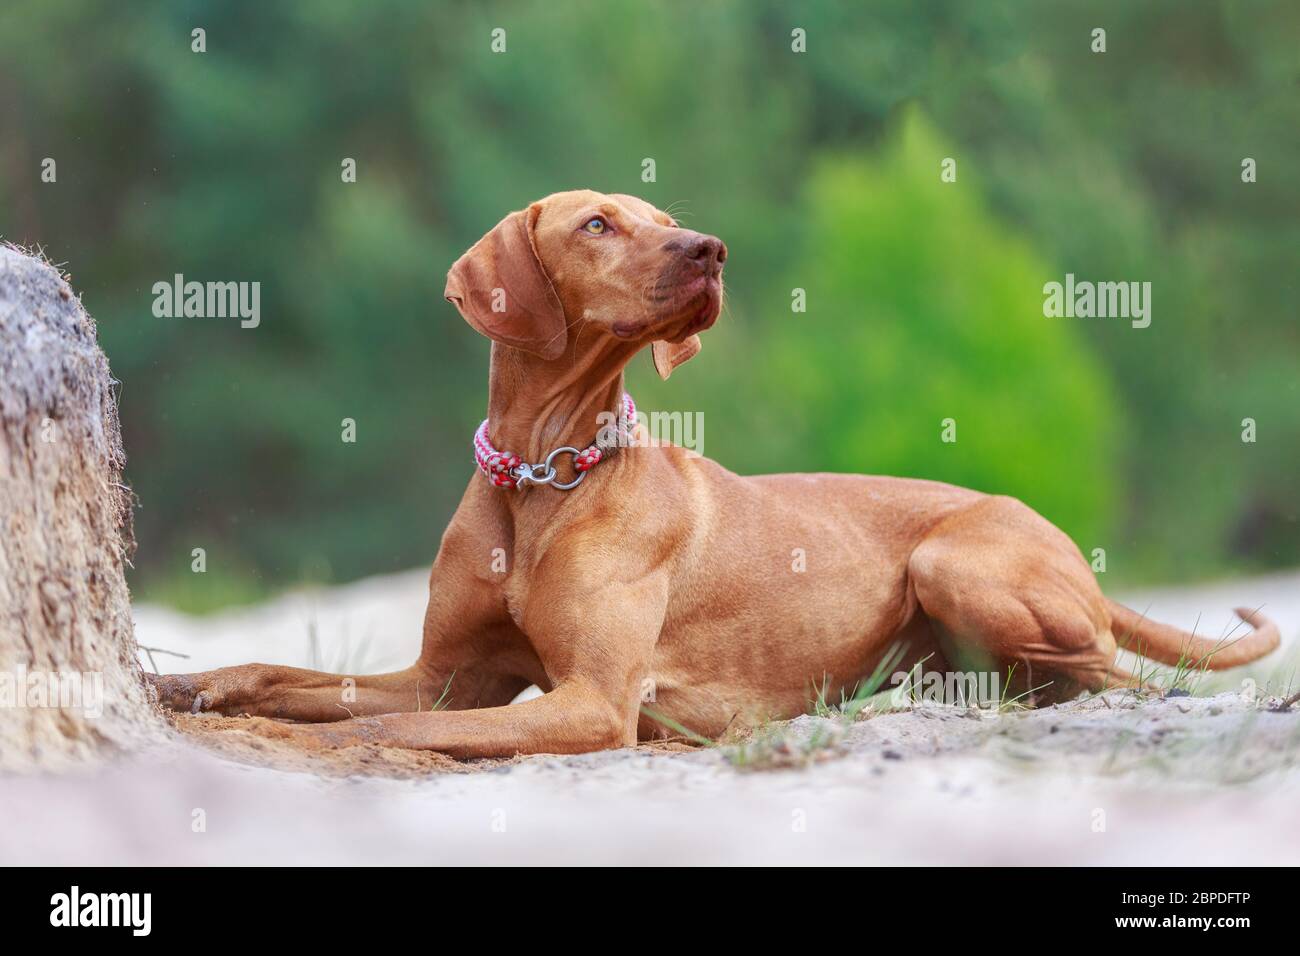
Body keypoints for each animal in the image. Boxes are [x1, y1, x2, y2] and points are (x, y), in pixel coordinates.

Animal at [149, 188, 1279, 754]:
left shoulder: (592, 702)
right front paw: (192, 685)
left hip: (956, 563)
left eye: (663, 216)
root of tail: (1068, 549)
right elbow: (290, 678)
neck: (542, 473)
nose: (710, 248)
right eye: (598, 223)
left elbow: (408, 728)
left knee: (1122, 675)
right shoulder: (446, 669)